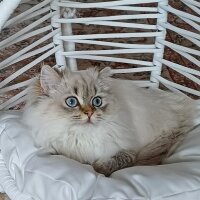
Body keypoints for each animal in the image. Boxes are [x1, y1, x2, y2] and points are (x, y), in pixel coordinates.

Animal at [22, 65, 198, 176]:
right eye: (71, 102)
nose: (89, 113)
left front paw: (99, 167)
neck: (83, 136)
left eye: (97, 101)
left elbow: (116, 161)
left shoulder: (129, 150)